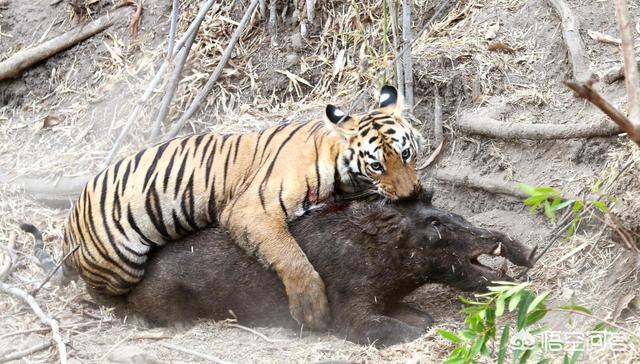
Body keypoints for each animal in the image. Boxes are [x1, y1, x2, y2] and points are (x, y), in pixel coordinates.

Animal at [60, 86, 420, 330]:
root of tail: (69, 223)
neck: (341, 171)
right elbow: (290, 255)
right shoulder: (251, 210)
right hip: (121, 263)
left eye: (406, 153)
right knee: (97, 289)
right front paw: (311, 309)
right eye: (376, 165)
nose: (410, 194)